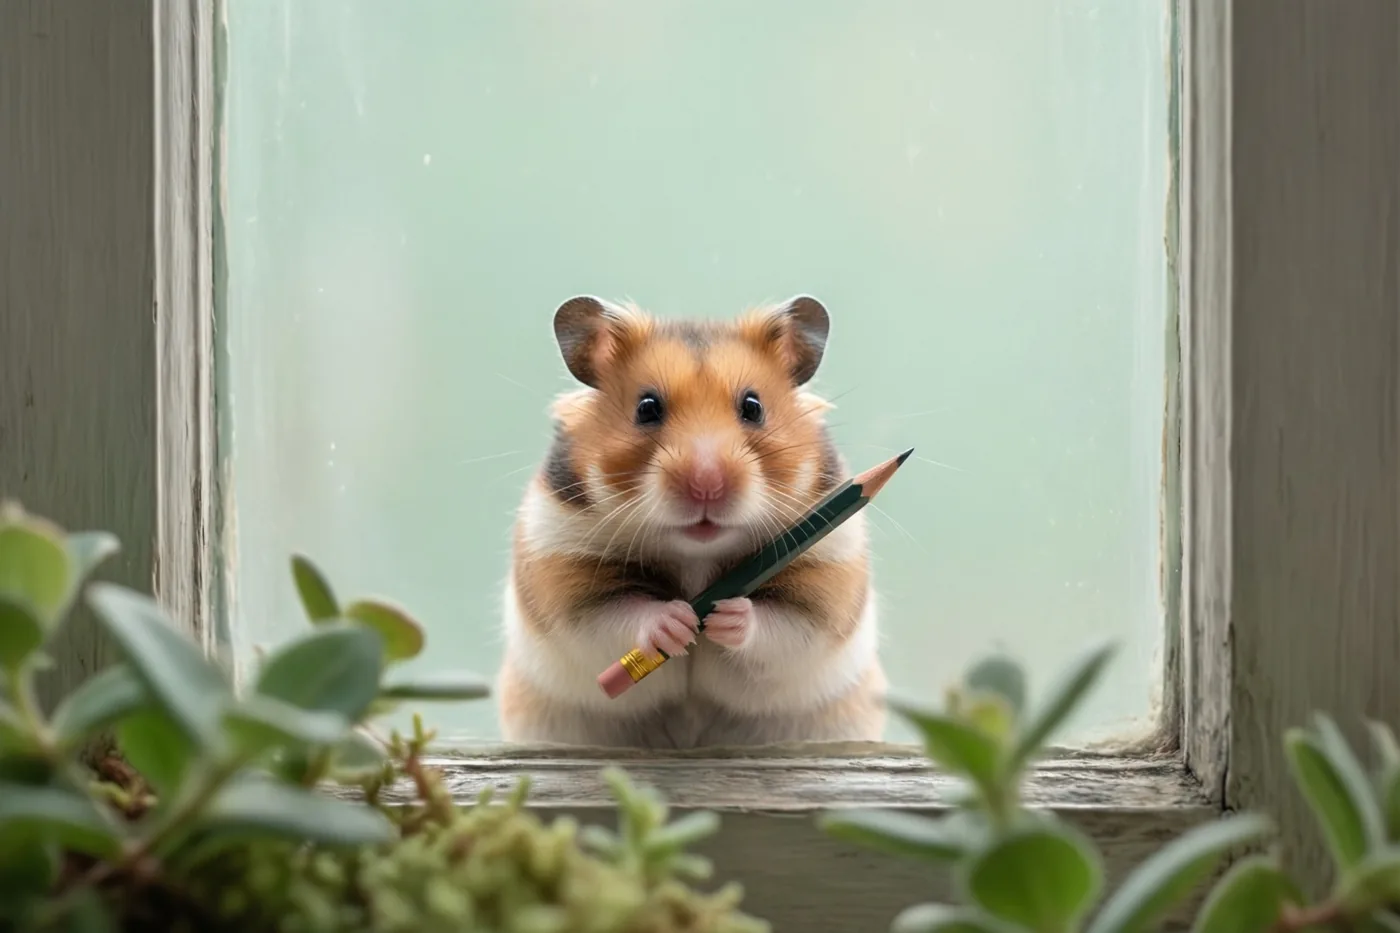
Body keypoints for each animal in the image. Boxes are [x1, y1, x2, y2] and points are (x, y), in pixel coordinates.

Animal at [496, 295, 886, 749]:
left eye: (753, 407)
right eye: (647, 408)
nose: (706, 485)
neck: (697, 554)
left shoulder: (825, 585)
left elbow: (781, 629)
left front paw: (725, 615)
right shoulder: (563, 569)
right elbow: (617, 616)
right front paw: (677, 620)